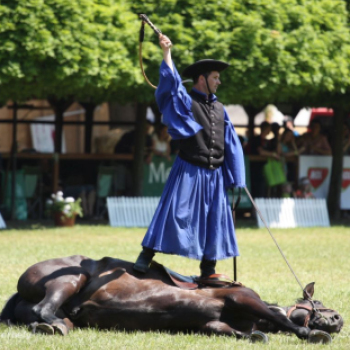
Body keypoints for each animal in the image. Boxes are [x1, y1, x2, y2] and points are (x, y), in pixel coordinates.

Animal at [0, 256, 344, 344]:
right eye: (319, 303)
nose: (339, 319)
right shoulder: (240, 297)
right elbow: (283, 319)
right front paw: (312, 333)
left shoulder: (211, 324)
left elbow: (237, 332)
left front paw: (254, 334)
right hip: (69, 279)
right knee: (45, 308)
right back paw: (51, 323)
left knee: (48, 319)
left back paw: (50, 327)